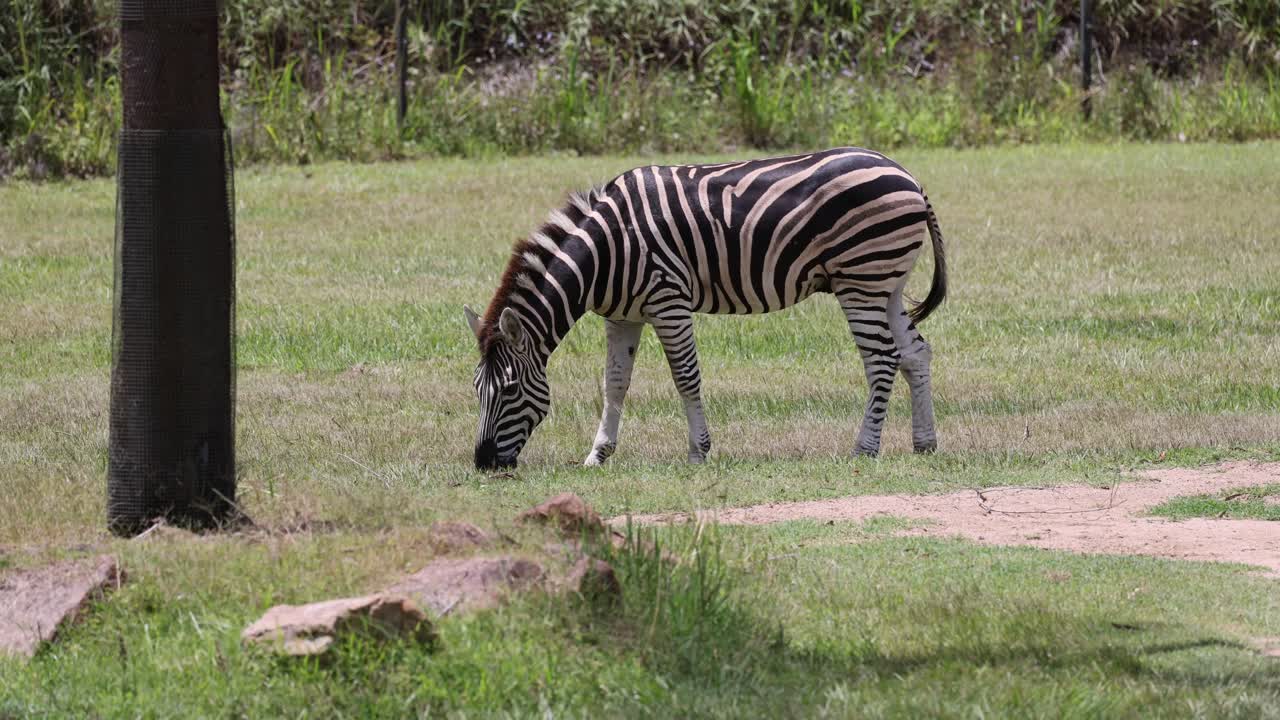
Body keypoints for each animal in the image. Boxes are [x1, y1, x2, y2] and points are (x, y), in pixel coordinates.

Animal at [465, 147, 947, 470]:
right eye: (476, 390)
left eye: (510, 390)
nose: (483, 462)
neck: (605, 251)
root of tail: (908, 175)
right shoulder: (622, 316)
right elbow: (614, 384)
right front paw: (598, 454)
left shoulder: (668, 301)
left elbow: (685, 377)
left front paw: (699, 450)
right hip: (888, 284)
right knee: (915, 353)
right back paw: (924, 442)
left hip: (861, 281)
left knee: (881, 360)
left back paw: (864, 448)